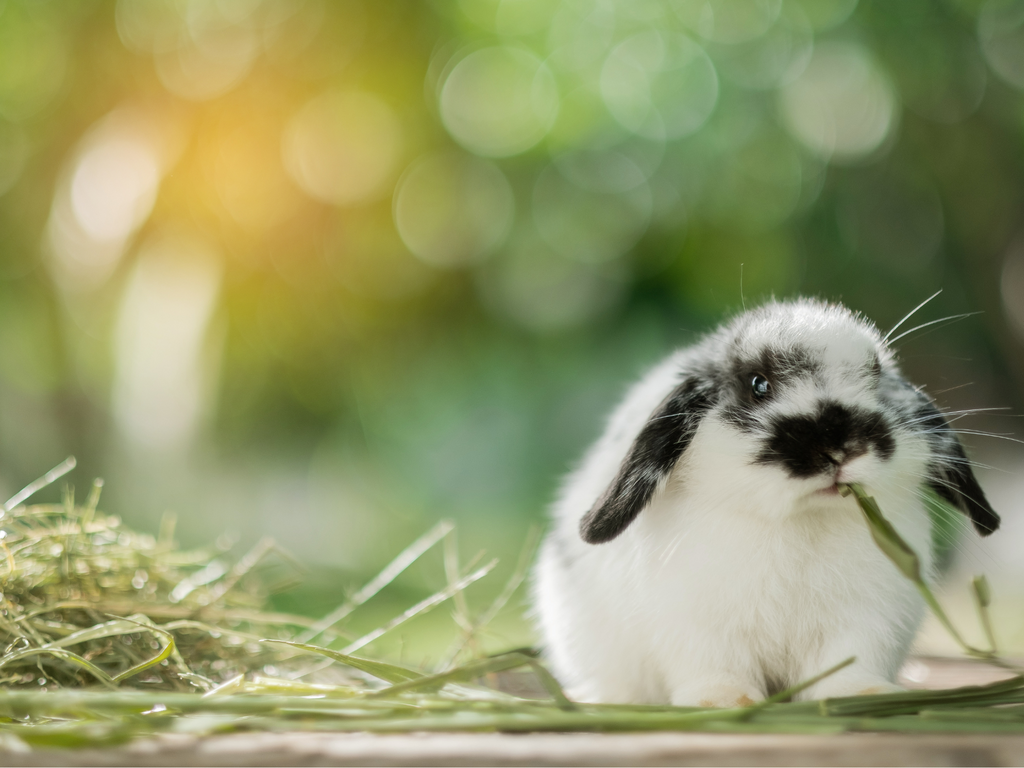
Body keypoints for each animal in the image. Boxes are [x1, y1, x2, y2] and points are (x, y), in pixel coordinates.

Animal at [532, 296, 995, 708]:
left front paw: (863, 695)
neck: (799, 522)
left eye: (875, 376)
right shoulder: (697, 626)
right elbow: (716, 670)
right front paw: (722, 702)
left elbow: (848, 666)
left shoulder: (864, 622)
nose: (839, 447)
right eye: (759, 385)